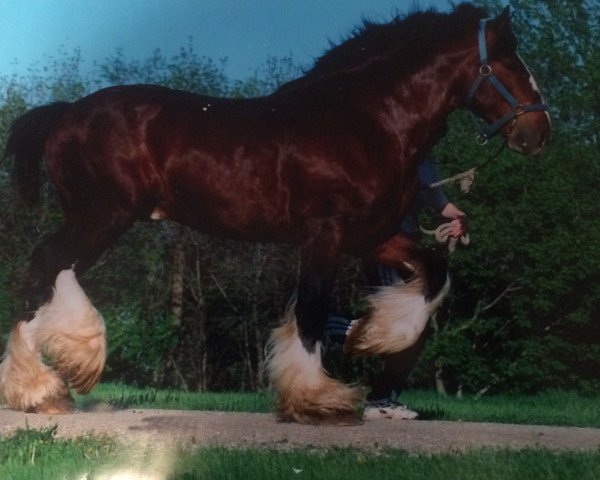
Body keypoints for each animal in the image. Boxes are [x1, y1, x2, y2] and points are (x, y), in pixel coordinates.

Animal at [0, 3, 548, 424]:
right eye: (507, 66)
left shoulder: (373, 236)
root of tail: (67, 113)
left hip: (99, 220)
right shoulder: (325, 235)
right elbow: (310, 312)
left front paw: (370, 336)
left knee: (54, 270)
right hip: (102, 216)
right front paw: (320, 400)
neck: (365, 121)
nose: (538, 133)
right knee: (43, 266)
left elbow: (434, 275)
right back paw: (38, 388)